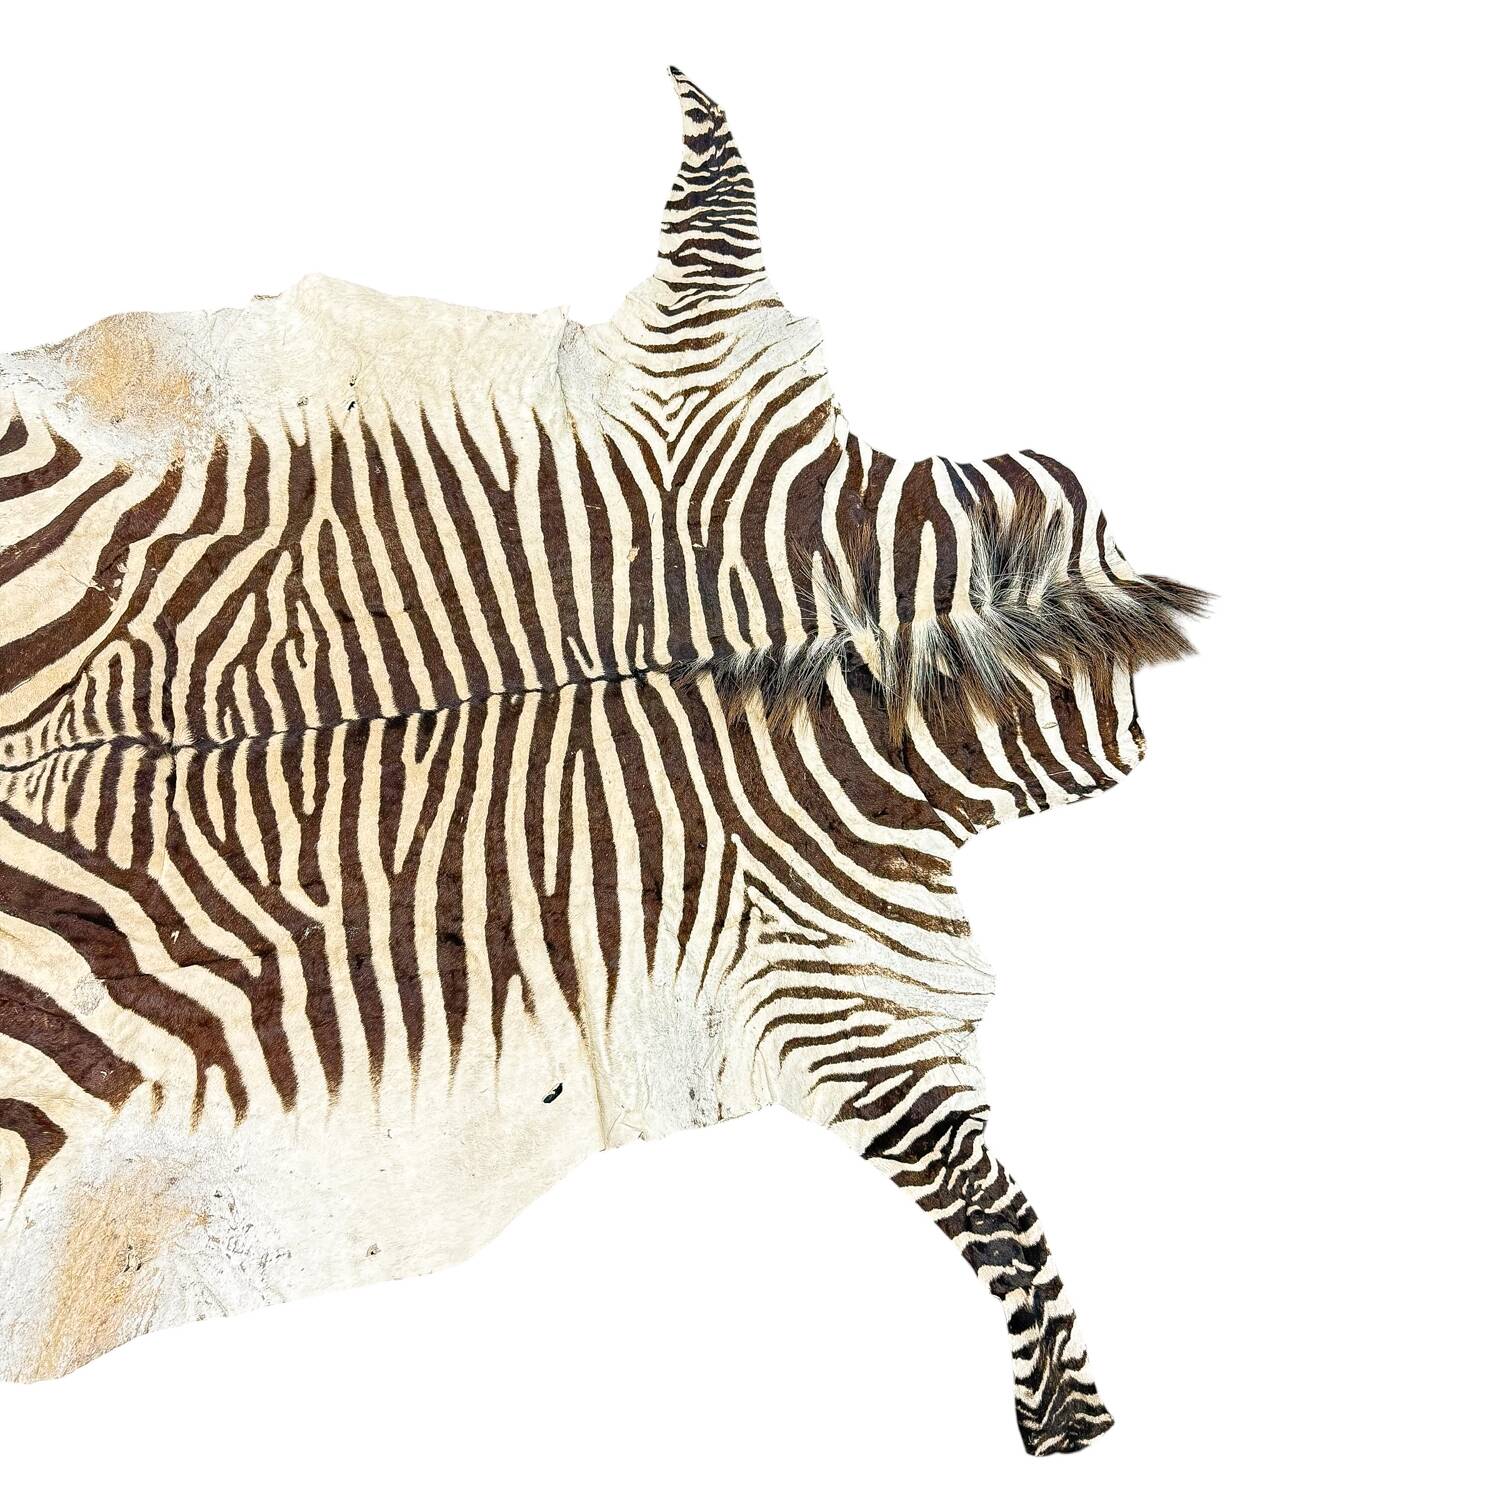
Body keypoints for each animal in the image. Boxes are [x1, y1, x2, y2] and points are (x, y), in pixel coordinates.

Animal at [0, 68, 1204, 1454]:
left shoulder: (832, 978)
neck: (857, 644)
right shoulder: (848, 986)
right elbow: (994, 1204)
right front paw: (1069, 1416)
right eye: (1068, 499)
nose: (1146, 605)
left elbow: (988, 1199)